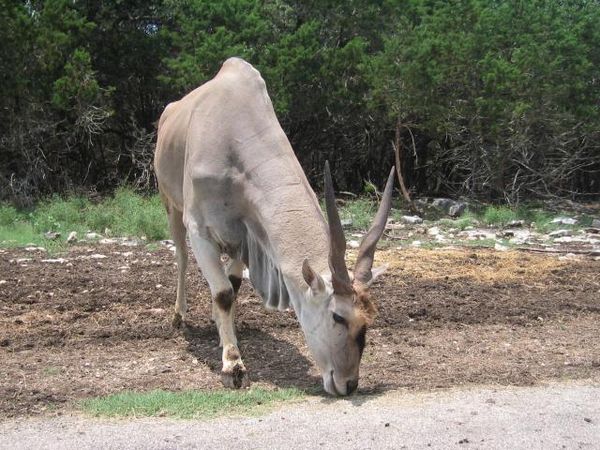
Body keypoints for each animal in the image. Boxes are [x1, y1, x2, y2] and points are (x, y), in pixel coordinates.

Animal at [155, 57, 394, 398]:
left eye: (369, 320)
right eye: (338, 316)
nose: (349, 385)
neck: (233, 131)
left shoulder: (245, 236)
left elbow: (232, 286)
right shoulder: (200, 230)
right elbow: (223, 293)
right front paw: (233, 366)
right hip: (171, 205)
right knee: (181, 259)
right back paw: (179, 317)